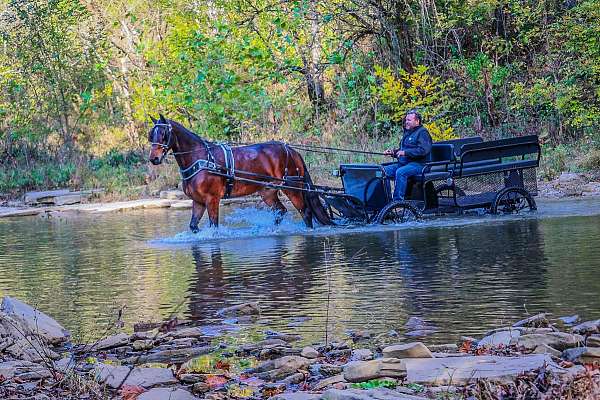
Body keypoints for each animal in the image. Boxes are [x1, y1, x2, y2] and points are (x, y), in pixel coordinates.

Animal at [146, 114, 332, 231]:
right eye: (151, 135)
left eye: (163, 134)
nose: (153, 158)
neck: (200, 158)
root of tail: (291, 150)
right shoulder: (198, 201)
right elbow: (193, 226)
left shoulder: (212, 199)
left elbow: (214, 226)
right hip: (268, 192)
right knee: (280, 212)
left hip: (292, 187)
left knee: (305, 212)